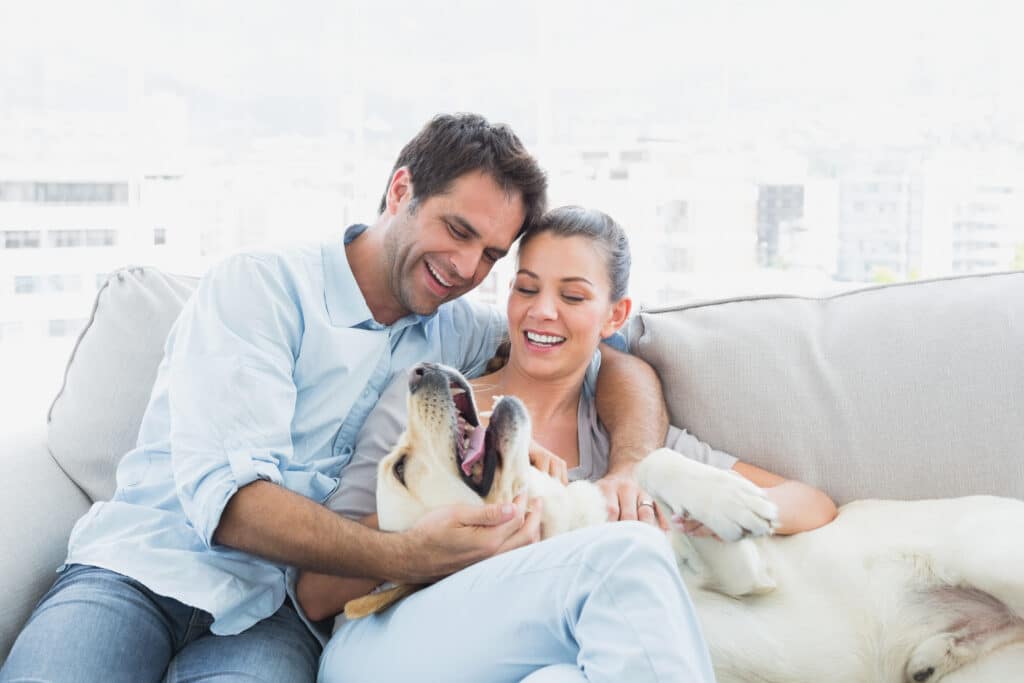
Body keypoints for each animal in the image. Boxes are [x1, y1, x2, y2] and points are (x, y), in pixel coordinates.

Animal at [350, 360, 1024, 679]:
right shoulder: (748, 576)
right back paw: (937, 653)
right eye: (401, 468)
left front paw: (723, 498)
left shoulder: (749, 571)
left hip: (983, 555)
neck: (568, 528)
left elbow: (654, 463)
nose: (419, 369)